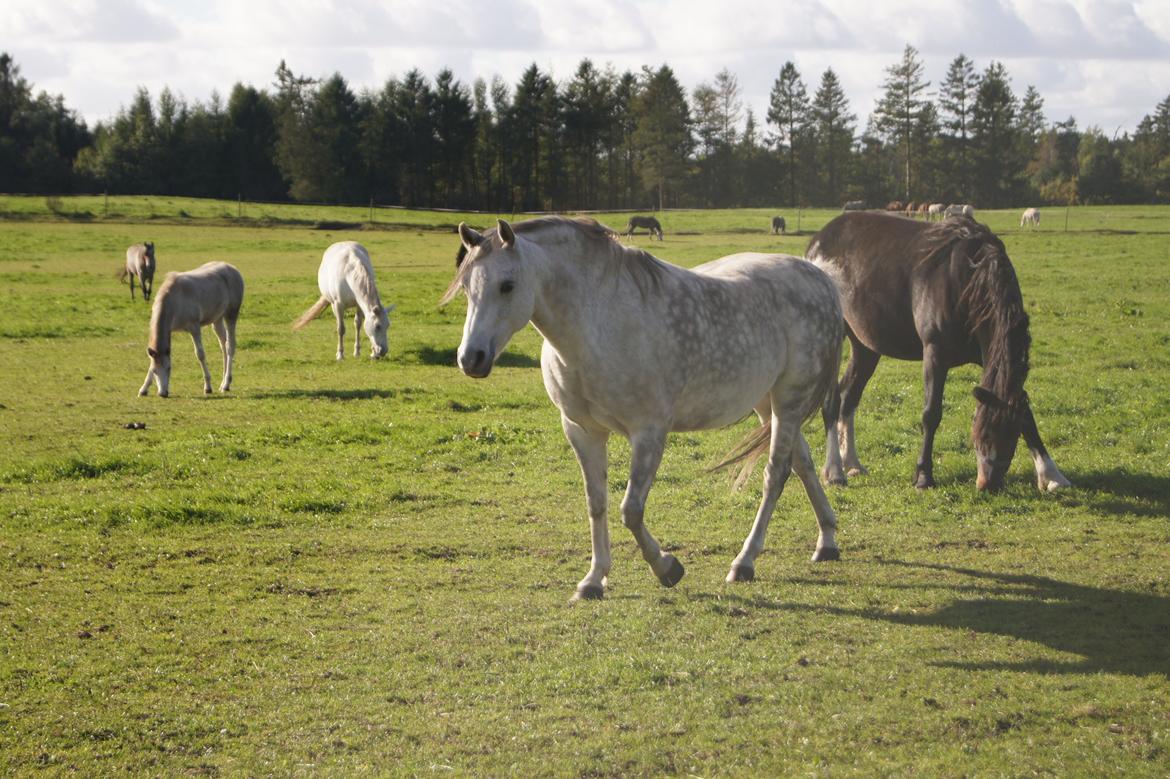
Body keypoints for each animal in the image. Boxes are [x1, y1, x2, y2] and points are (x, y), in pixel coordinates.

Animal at [139, 262, 244, 398]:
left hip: (231, 314)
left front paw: (208, 387)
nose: (163, 393)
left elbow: (200, 354)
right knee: (223, 345)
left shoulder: (194, 328)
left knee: (230, 346)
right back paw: (224, 383)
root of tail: (233, 269)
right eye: (155, 371)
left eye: (169, 368)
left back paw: (225, 384)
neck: (174, 300)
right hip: (217, 319)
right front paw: (143, 389)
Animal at [444, 216, 844, 600]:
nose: (471, 358)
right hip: (767, 403)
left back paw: (744, 562)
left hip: (789, 400)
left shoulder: (649, 433)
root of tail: (819, 278)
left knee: (776, 474)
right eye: (466, 288)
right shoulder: (582, 431)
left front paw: (667, 568)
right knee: (803, 464)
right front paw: (593, 580)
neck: (597, 326)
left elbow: (631, 510)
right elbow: (597, 503)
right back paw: (827, 541)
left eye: (507, 285)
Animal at [806, 212, 1070, 492]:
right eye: (982, 435)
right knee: (832, 401)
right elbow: (931, 413)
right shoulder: (935, 353)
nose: (989, 484)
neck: (968, 280)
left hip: (865, 348)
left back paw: (852, 463)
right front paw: (923, 475)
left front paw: (1051, 474)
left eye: (1011, 437)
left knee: (848, 397)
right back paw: (835, 470)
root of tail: (817, 242)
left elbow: (1027, 414)